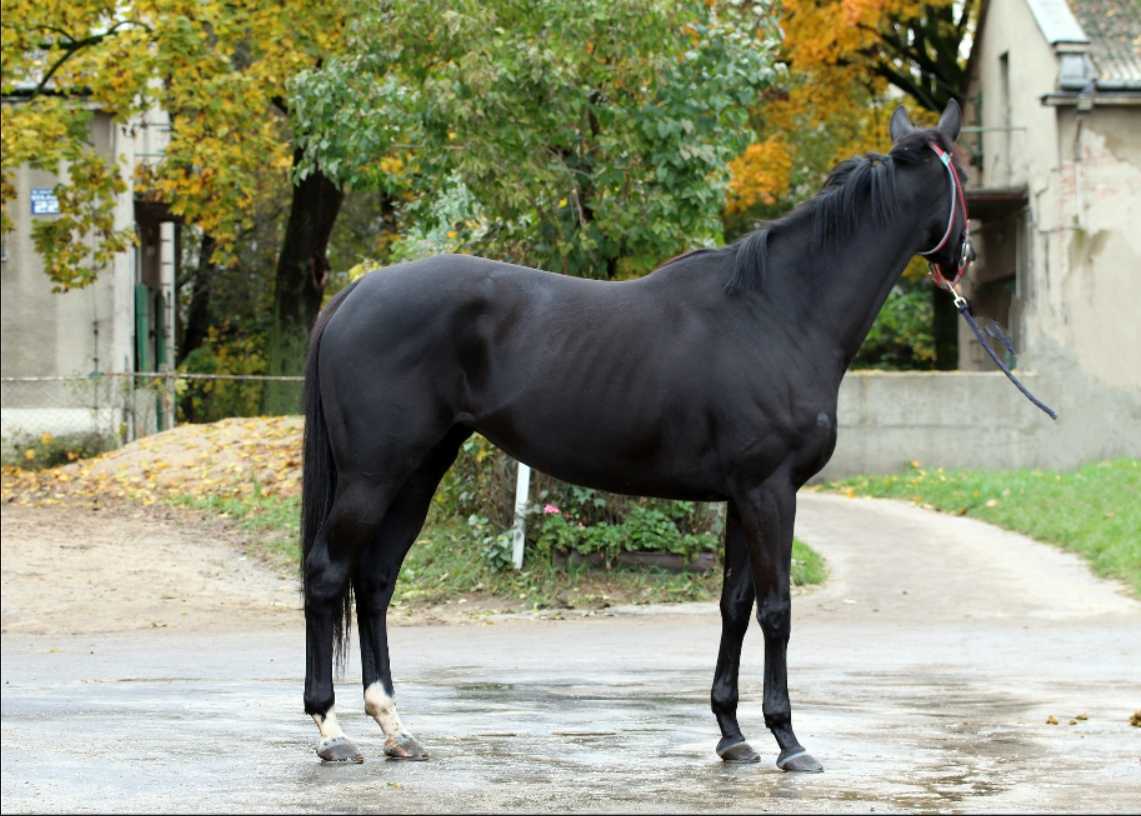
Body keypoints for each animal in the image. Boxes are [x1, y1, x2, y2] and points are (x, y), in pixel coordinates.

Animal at [299, 100, 969, 773]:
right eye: (963, 173)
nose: (961, 260)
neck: (779, 312)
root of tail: (357, 290)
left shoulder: (742, 497)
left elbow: (734, 606)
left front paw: (732, 735)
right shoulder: (771, 492)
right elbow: (776, 611)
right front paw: (789, 740)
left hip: (419, 472)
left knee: (375, 581)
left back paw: (396, 728)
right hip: (373, 476)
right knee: (328, 573)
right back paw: (332, 732)